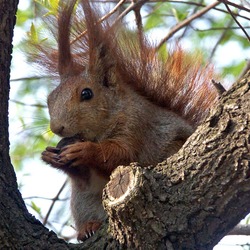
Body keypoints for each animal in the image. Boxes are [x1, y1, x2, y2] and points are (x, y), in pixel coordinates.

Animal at [35, 0, 217, 241]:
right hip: (83, 201)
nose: (57, 127)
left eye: (87, 93)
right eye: (50, 98)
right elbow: (84, 176)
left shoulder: (136, 125)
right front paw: (50, 157)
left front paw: (84, 151)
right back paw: (88, 228)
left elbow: (121, 154)